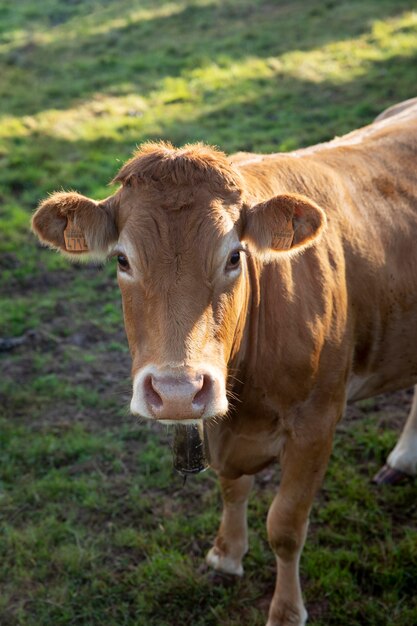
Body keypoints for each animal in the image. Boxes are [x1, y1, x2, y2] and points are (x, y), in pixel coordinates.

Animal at [31, 100, 416, 624]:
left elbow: (286, 525)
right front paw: (227, 555)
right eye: (122, 260)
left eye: (234, 256)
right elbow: (232, 488)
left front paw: (286, 610)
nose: (177, 392)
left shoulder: (317, 423)